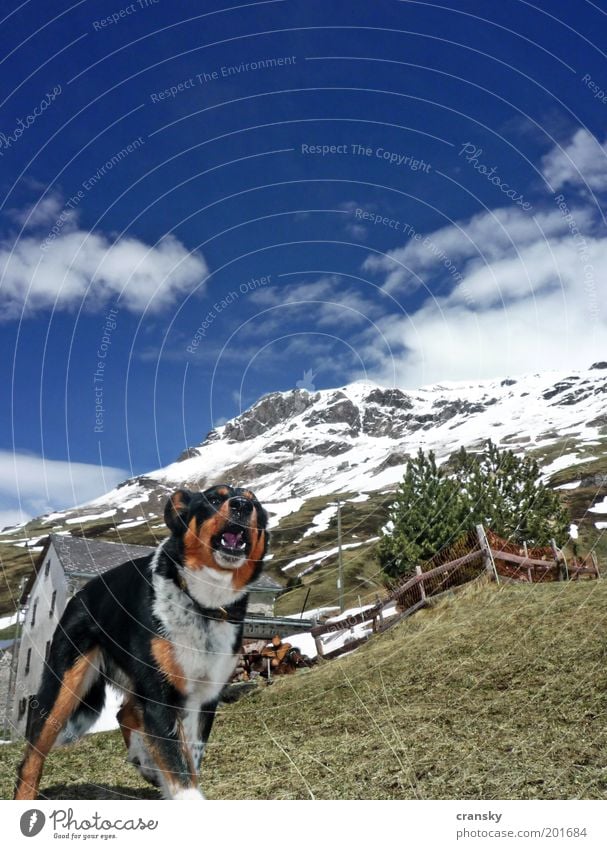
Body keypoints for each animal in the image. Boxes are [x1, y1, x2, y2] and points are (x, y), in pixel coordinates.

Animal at [14, 484, 268, 800]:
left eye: (255, 504)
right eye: (213, 498)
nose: (242, 506)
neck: (202, 604)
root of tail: (82, 593)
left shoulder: (204, 697)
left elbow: (189, 759)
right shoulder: (160, 696)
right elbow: (179, 768)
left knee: (126, 713)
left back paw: (145, 762)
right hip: (64, 687)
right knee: (31, 758)